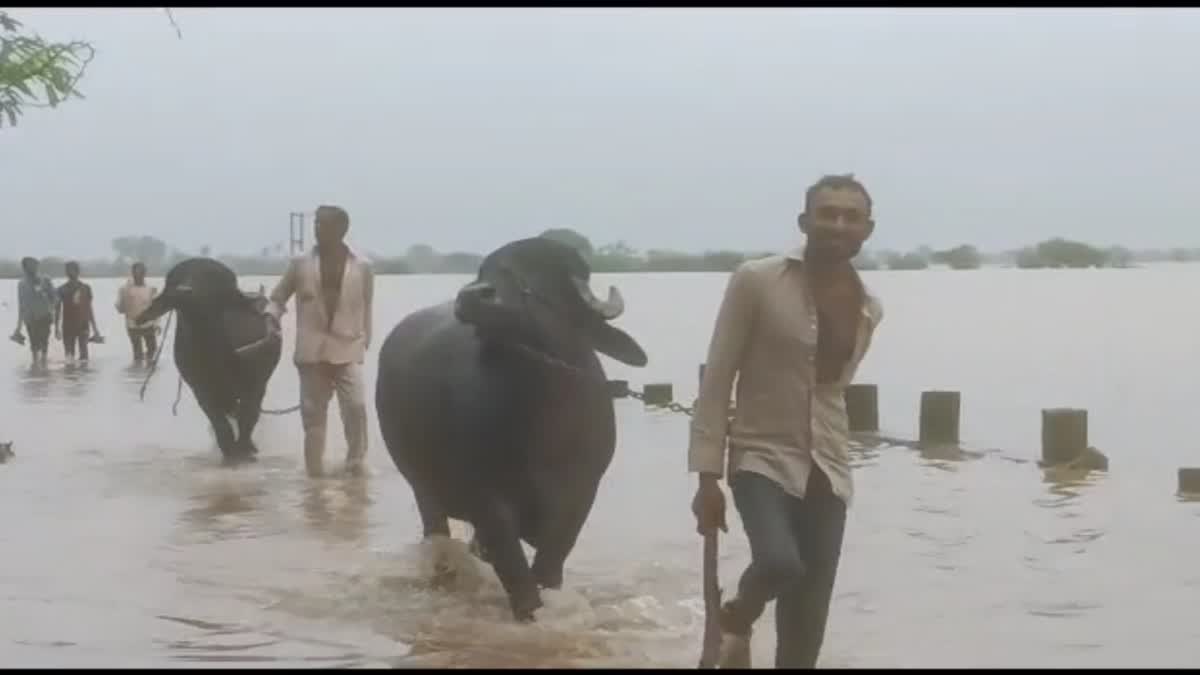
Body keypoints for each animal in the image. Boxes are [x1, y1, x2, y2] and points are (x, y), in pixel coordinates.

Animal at [136, 257, 283, 461]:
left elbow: (248, 416)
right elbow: (218, 420)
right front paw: (229, 450)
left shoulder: (256, 386)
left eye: (210, 279)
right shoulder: (200, 388)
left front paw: (245, 448)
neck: (212, 350)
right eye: (178, 278)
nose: (185, 290)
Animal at [379, 236, 652, 619]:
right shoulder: (487, 498)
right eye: (488, 268)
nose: (474, 296)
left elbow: (551, 563)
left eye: (539, 272)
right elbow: (516, 572)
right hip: (423, 488)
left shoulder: (581, 493)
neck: (542, 415)